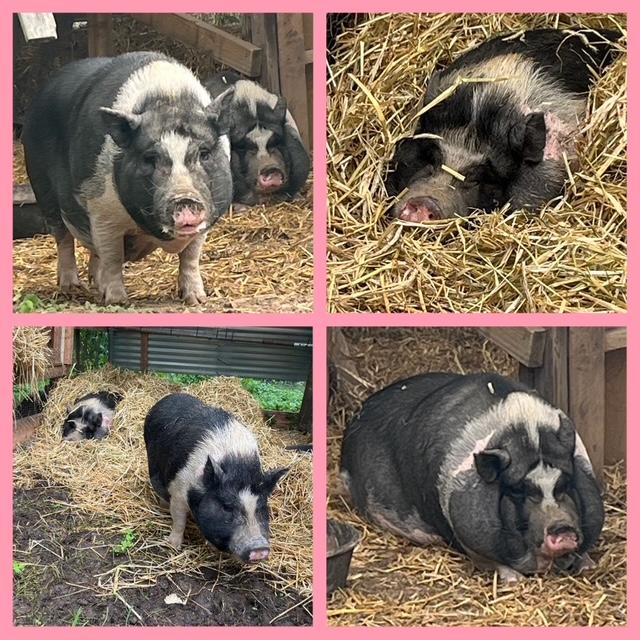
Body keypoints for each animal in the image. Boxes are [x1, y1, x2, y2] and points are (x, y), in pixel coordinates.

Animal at [21, 52, 234, 305]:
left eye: (205, 153)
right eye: (149, 158)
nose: (185, 198)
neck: (169, 98)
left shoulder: (205, 222)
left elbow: (191, 258)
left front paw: (197, 300)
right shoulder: (102, 211)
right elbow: (112, 257)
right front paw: (117, 301)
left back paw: (95, 284)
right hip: (42, 188)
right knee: (64, 239)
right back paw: (72, 287)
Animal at [143, 393, 288, 563]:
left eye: (261, 507)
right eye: (226, 507)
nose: (259, 548)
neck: (238, 465)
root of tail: (169, 397)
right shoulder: (178, 491)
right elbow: (179, 520)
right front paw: (173, 546)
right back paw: (163, 507)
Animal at [340, 372, 604, 582]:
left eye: (566, 483)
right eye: (517, 490)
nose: (562, 527)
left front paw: (588, 566)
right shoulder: (469, 537)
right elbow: (492, 562)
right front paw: (514, 580)